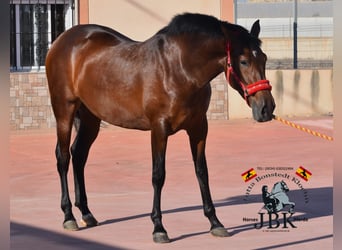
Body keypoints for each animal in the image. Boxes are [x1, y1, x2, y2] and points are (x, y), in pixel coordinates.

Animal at [45, 12, 276, 243]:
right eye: (243, 61)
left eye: (264, 58)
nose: (267, 108)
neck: (179, 69)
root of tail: (63, 40)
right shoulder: (159, 129)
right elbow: (158, 175)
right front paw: (159, 227)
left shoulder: (199, 128)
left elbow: (202, 172)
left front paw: (215, 222)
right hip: (64, 111)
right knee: (63, 157)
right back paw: (68, 216)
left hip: (91, 118)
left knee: (79, 155)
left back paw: (86, 213)